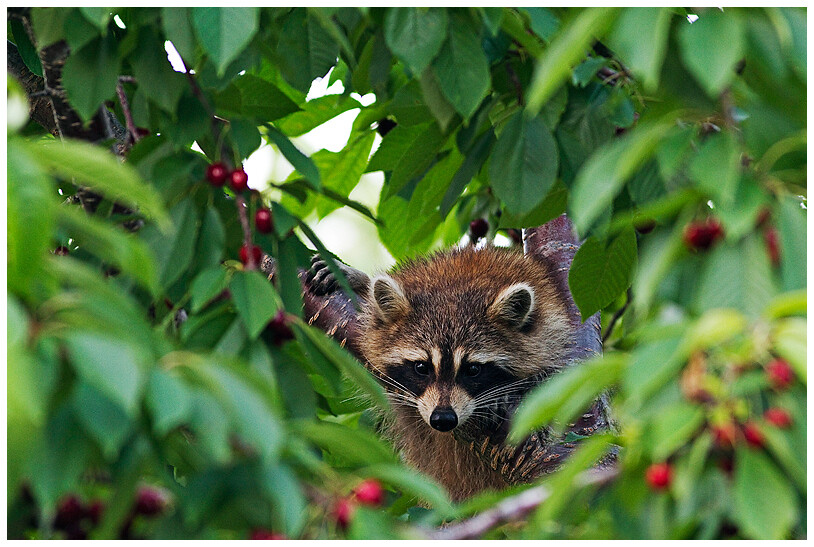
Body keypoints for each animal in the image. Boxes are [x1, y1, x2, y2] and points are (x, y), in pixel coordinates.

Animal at [308, 246, 572, 504]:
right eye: (421, 367)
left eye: (473, 370)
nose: (443, 419)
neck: (457, 282)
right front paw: (357, 279)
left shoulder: (551, 328)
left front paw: (526, 388)